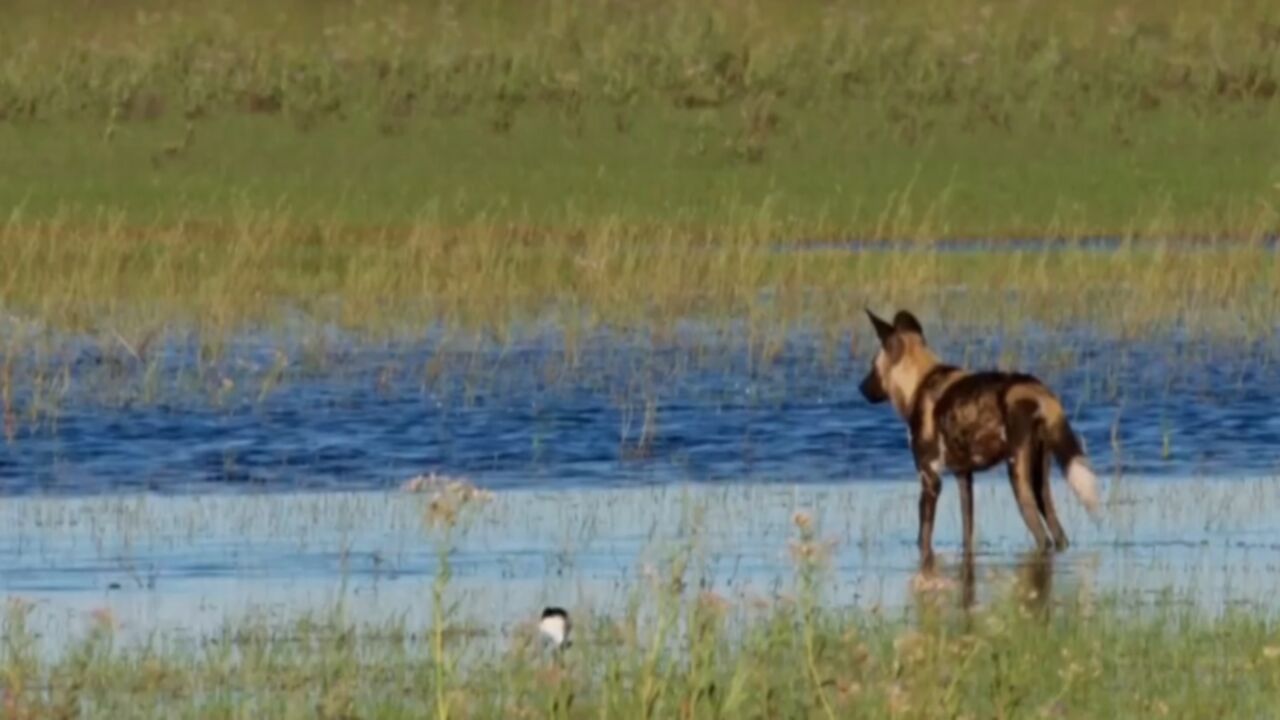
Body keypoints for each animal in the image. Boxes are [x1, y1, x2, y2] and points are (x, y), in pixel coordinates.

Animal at [860, 304, 1100, 558]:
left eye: (872, 365)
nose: (860, 388)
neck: (919, 380)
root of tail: (1038, 391)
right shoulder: (964, 476)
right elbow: (967, 532)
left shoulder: (930, 479)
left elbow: (923, 538)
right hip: (1039, 482)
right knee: (1059, 534)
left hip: (1018, 477)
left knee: (1042, 537)